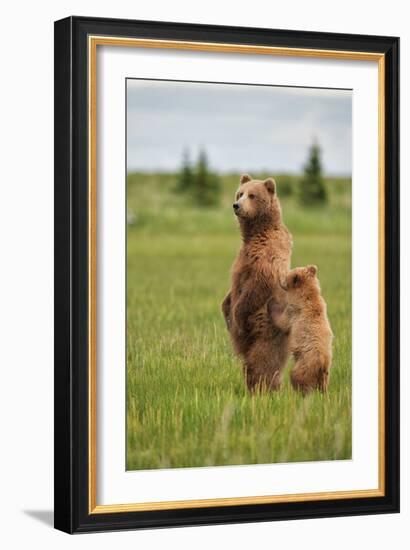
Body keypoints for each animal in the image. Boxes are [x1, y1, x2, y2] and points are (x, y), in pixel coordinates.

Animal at [223, 174, 294, 392]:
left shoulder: (267, 254)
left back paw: (264, 389)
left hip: (267, 328)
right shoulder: (242, 257)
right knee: (248, 361)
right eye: (240, 193)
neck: (256, 232)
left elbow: (258, 284)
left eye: (252, 195)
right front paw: (225, 309)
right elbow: (231, 292)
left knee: (262, 362)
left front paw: (236, 316)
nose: (236, 205)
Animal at [270, 266, 334, 394]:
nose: (279, 277)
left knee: (297, 377)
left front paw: (271, 304)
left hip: (304, 364)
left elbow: (282, 321)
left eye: (287, 275)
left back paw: (299, 392)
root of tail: (323, 363)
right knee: (323, 385)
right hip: (325, 374)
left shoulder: (294, 312)